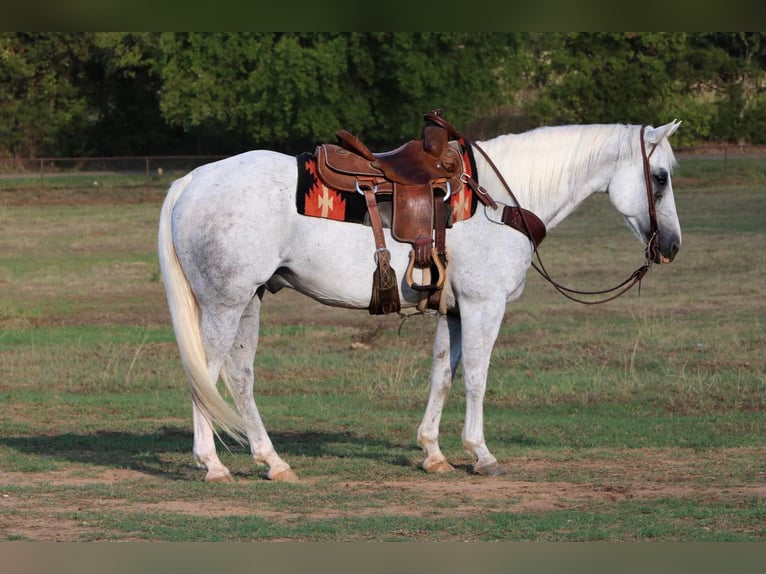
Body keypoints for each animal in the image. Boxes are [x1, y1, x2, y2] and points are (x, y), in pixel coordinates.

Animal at [156, 119, 684, 484]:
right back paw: (213, 464)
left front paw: (433, 453)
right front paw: (481, 454)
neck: (498, 202)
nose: (672, 246)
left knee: (239, 379)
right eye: (659, 177)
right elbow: (476, 378)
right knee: (205, 374)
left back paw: (273, 462)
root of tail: (192, 181)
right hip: (225, 304)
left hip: (248, 301)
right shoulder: (483, 305)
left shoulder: (453, 311)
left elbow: (442, 376)